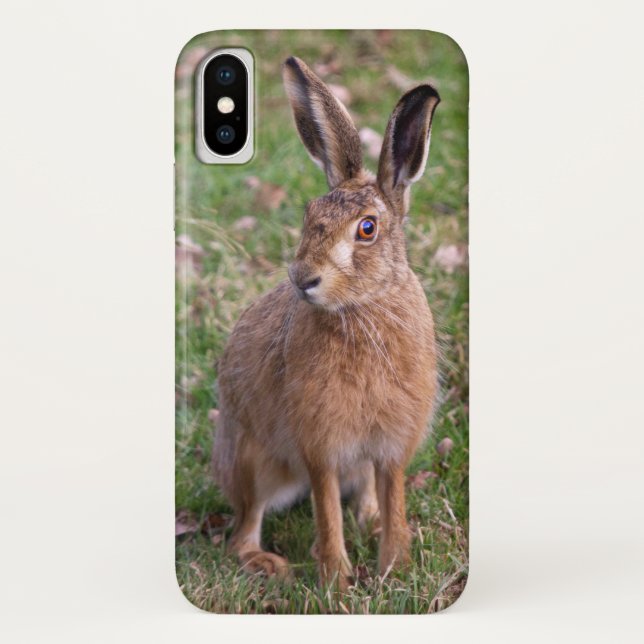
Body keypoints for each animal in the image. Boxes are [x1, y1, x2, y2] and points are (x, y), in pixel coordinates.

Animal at [213, 56, 440, 590]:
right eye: (308, 213)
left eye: (367, 229)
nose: (303, 278)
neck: (362, 309)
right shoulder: (319, 445)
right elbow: (325, 508)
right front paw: (337, 579)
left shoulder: (392, 446)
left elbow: (393, 496)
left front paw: (393, 566)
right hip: (256, 464)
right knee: (243, 529)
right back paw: (267, 563)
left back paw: (370, 521)